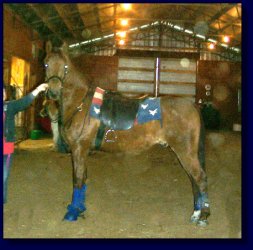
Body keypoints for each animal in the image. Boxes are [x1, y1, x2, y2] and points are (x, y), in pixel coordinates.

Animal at [44, 42, 211, 227]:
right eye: (46, 64)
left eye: (65, 67)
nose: (53, 92)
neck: (81, 104)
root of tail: (192, 105)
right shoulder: (82, 150)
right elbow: (84, 178)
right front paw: (80, 209)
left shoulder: (79, 149)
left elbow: (78, 180)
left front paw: (73, 212)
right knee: (194, 179)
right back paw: (196, 213)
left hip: (185, 153)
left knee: (200, 178)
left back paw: (203, 216)